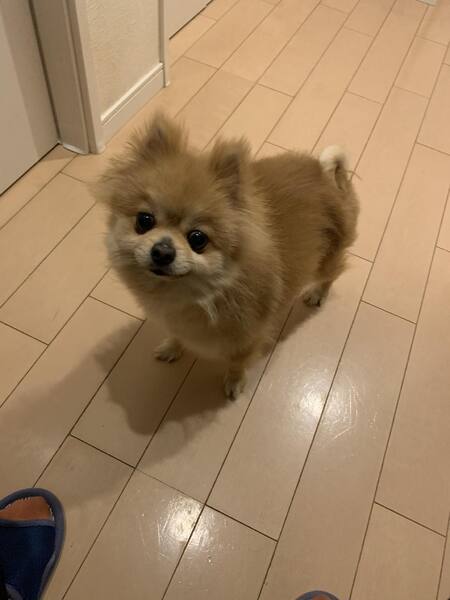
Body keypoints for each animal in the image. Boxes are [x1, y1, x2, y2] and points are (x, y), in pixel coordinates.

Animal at [97, 113, 359, 398]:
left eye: (198, 239)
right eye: (144, 221)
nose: (163, 251)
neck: (191, 293)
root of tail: (324, 174)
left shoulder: (246, 337)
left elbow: (237, 362)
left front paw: (234, 384)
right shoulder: (176, 321)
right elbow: (177, 335)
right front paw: (171, 348)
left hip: (328, 257)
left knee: (331, 274)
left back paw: (317, 293)